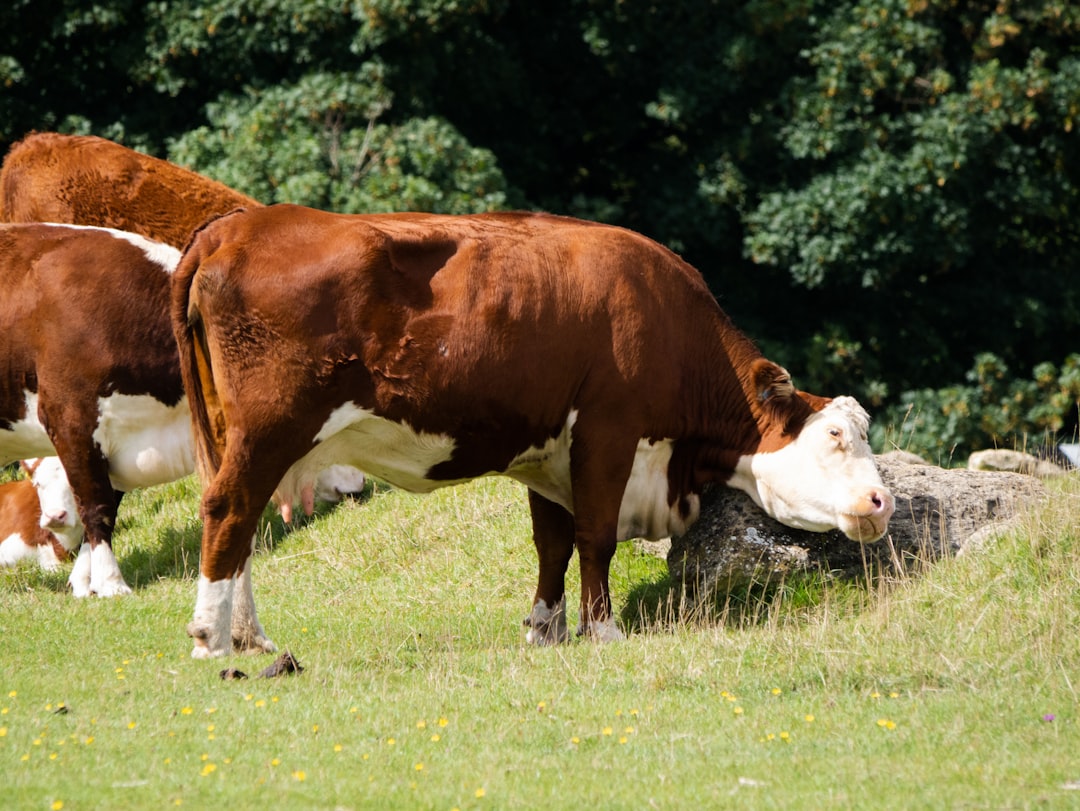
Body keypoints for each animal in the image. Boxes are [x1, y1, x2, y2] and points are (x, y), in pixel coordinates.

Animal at [0, 225, 367, 600]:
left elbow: (107, 503)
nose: (359, 484)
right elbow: (96, 505)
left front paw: (83, 580)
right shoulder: (70, 420)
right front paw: (111, 582)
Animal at [170, 204, 894, 660]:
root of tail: (236, 226)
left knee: (238, 522)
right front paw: (602, 630)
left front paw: (545, 629)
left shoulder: (548, 449)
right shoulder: (607, 429)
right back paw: (212, 636)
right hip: (270, 428)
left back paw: (250, 635)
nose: (883, 501)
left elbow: (552, 543)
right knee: (229, 509)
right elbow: (595, 537)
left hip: (234, 434)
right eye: (834, 436)